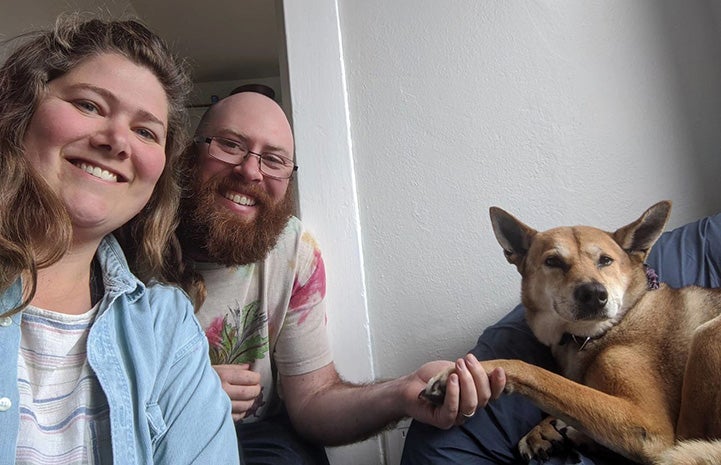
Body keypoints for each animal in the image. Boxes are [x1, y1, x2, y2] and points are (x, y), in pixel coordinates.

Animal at [422, 201, 720, 464]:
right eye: (553, 261)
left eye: (605, 260)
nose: (594, 294)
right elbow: (568, 393)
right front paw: (543, 430)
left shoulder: (648, 425)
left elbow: (547, 379)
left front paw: (469, 372)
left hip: (707, 334)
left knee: (684, 441)